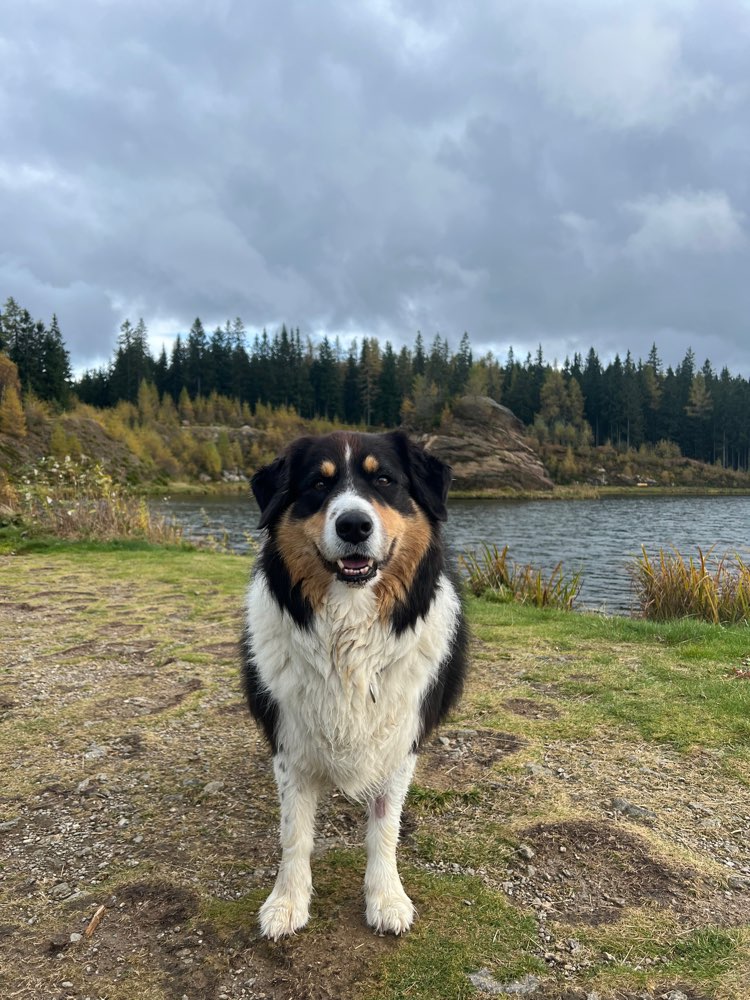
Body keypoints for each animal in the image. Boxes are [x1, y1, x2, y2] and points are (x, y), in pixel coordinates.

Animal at [244, 430, 468, 936]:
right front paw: (287, 901)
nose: (353, 526)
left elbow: (384, 827)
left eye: (384, 479)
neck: (349, 630)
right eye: (317, 484)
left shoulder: (398, 741)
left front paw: (386, 896)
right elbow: (294, 832)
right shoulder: (290, 742)